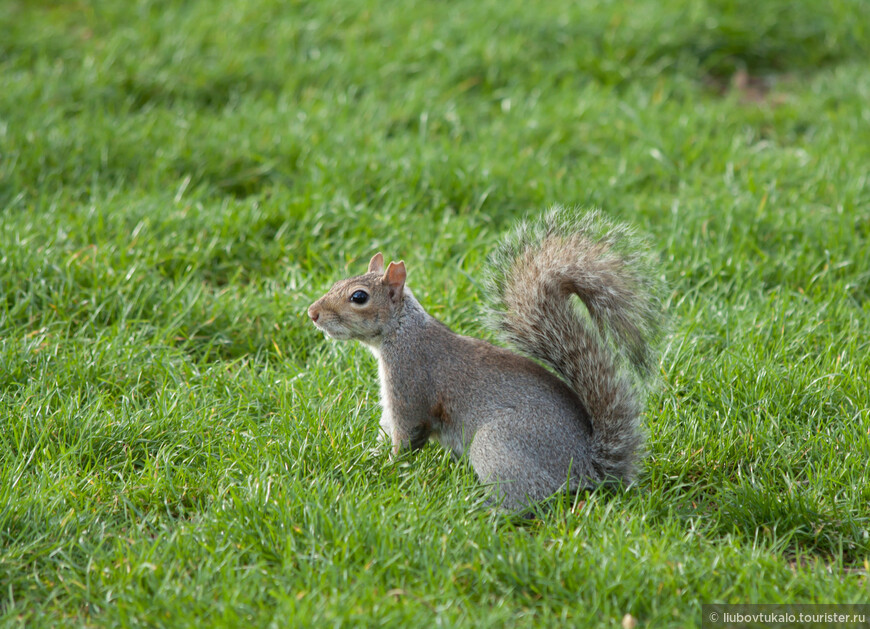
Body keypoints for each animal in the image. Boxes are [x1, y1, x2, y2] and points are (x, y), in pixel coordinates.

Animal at [310, 206, 664, 510]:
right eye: (338, 281)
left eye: (359, 297)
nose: (312, 313)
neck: (401, 332)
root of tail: (587, 466)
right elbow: (386, 432)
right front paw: (369, 454)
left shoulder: (409, 383)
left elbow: (407, 436)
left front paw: (386, 468)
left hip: (496, 445)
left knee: (531, 498)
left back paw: (485, 510)